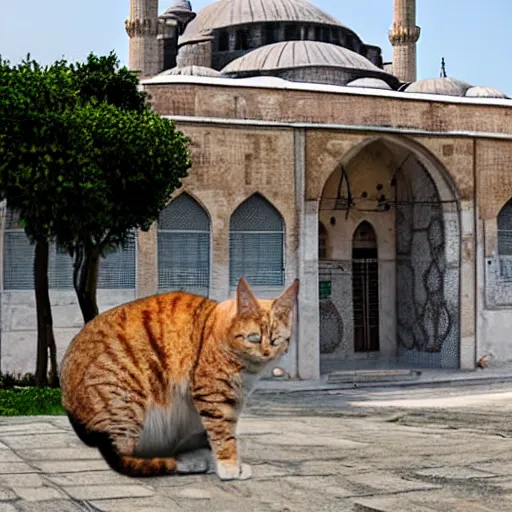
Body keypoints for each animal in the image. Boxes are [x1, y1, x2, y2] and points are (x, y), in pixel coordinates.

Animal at [60, 276, 298, 480]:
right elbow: (224, 436)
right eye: (254, 338)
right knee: (127, 458)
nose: (266, 353)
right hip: (128, 399)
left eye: (276, 340)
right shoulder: (213, 396)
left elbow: (215, 436)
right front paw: (229, 467)